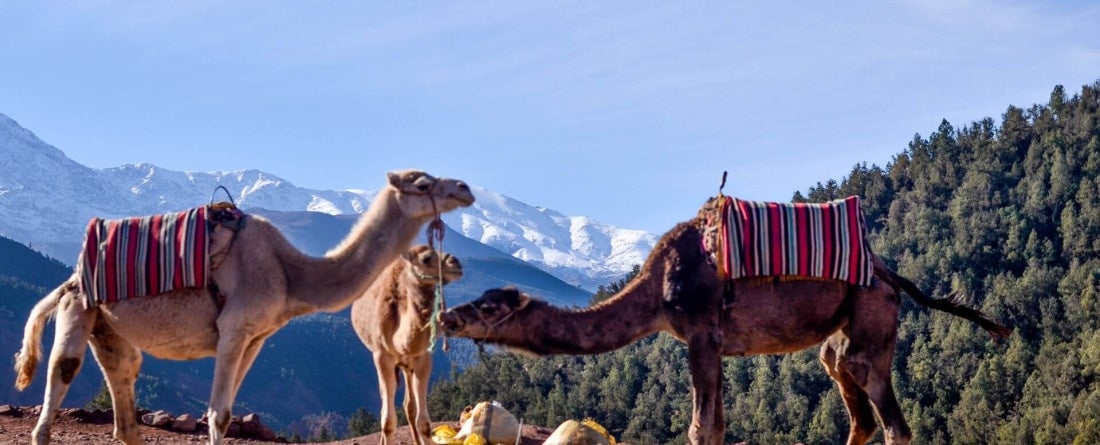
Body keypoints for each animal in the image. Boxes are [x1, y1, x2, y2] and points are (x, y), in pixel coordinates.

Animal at [351, 244, 463, 445]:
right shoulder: (382, 357)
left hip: (406, 365)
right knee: (387, 404)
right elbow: (388, 421)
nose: (455, 262)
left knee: (408, 405)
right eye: (426, 258)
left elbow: (424, 422)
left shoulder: (422, 358)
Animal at [440, 198, 1012, 445]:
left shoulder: (700, 334)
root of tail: (889, 272)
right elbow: (715, 425)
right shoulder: (710, 343)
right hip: (843, 330)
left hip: (871, 317)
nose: (447, 316)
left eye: (488, 308)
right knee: (851, 395)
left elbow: (701, 428)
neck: (656, 287)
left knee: (889, 415)